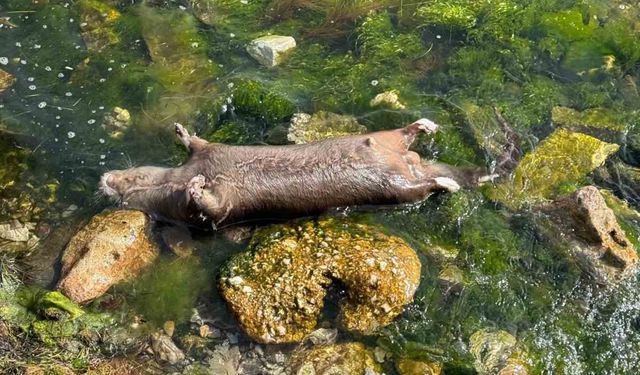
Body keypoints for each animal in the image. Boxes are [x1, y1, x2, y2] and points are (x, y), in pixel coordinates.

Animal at [100, 120, 492, 229]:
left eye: (128, 175)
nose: (105, 179)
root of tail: (410, 162)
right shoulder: (215, 206)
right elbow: (210, 207)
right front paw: (196, 187)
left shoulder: (210, 156)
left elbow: (198, 144)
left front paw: (182, 133)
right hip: (398, 183)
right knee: (420, 179)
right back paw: (446, 177)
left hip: (386, 151)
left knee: (405, 142)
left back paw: (425, 130)